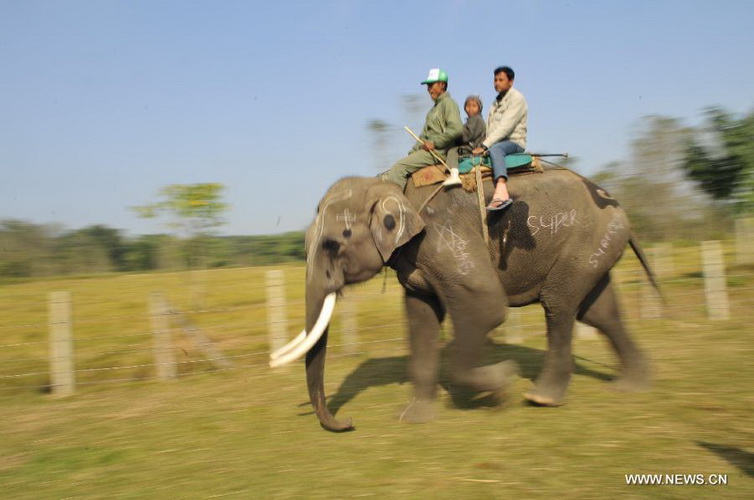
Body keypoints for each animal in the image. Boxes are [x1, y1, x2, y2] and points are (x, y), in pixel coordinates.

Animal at [270, 166, 652, 432]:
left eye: (333, 243)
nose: (348, 422)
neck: (393, 188)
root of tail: (618, 205)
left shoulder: (445, 240)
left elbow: (485, 307)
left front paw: (503, 382)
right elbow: (420, 319)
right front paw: (413, 417)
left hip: (586, 242)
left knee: (558, 304)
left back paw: (541, 397)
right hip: (593, 248)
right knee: (599, 311)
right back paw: (632, 386)